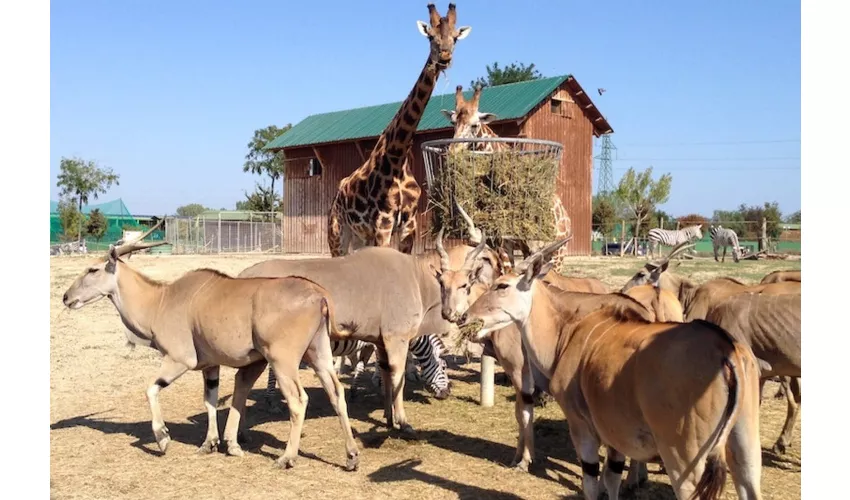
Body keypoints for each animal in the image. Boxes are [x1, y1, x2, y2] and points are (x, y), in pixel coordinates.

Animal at [324, 5, 470, 258]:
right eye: (431, 37)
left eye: (454, 38)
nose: (444, 58)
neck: (397, 156)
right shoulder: (383, 222)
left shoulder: (408, 224)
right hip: (338, 233)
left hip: (361, 237)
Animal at [440, 85, 572, 270]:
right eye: (453, 122)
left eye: (475, 125)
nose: (453, 151)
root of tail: (567, 219)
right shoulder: (502, 243)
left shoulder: (511, 242)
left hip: (558, 253)